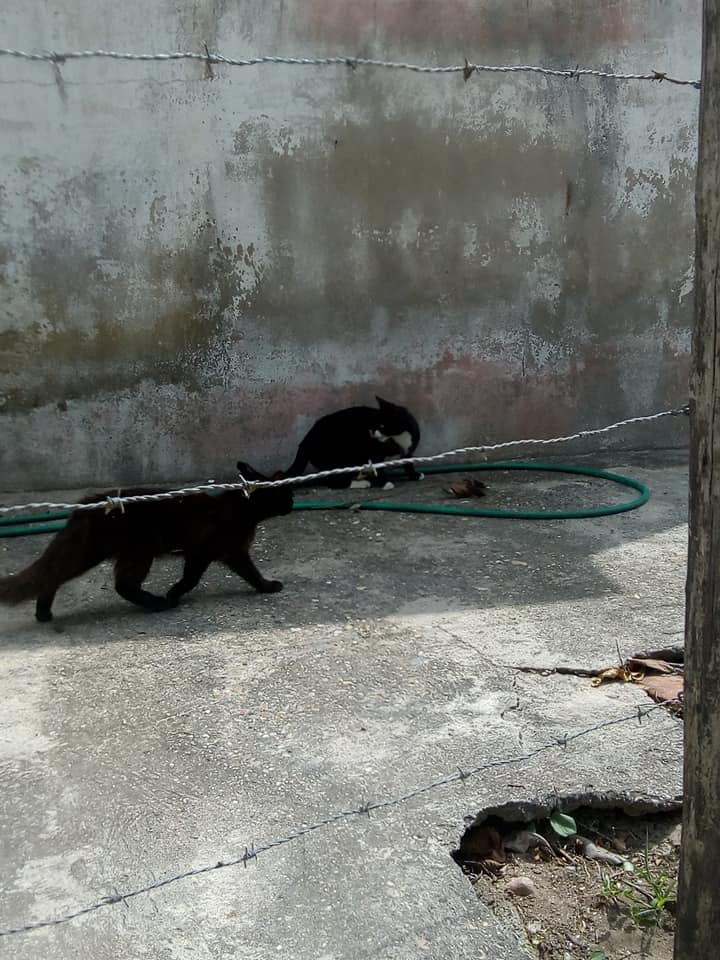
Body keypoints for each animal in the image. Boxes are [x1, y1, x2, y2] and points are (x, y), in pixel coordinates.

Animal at [0, 462, 292, 623]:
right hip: (127, 550)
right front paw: (174, 594)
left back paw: (43, 614)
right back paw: (159, 603)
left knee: (57, 576)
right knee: (119, 585)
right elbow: (197, 578)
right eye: (287, 494)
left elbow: (241, 574)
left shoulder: (221, 552)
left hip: (127, 551)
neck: (243, 507)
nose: (291, 506)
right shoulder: (211, 551)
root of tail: (85, 506)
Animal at [285, 396, 423, 489]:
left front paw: (414, 475)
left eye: (381, 425)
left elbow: (408, 463)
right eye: (373, 424)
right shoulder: (375, 451)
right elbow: (379, 467)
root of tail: (305, 441)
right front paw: (385, 483)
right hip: (339, 454)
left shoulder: (408, 450)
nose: (371, 433)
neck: (398, 437)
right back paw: (362, 483)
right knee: (334, 482)